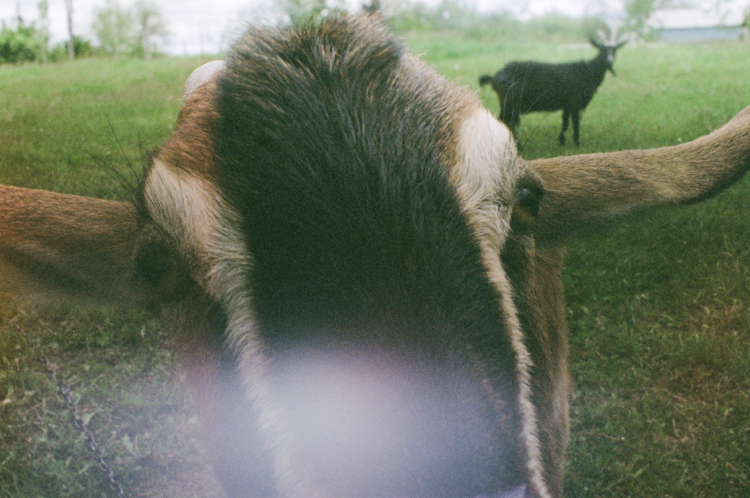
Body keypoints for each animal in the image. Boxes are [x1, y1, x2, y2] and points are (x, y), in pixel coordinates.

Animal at [482, 36, 628, 146]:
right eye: (602, 50)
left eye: (615, 50)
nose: (609, 61)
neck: (587, 72)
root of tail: (494, 77)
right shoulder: (575, 102)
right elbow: (575, 123)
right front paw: (577, 144)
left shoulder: (567, 105)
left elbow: (565, 123)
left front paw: (562, 142)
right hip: (510, 102)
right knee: (504, 121)